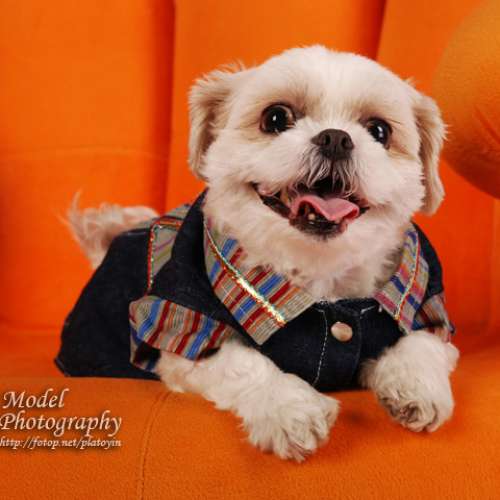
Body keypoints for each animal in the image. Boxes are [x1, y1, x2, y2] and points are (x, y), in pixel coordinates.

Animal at [59, 46, 459, 461]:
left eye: (380, 130)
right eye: (276, 117)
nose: (335, 138)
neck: (319, 281)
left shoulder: (428, 307)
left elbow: (421, 343)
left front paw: (415, 387)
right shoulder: (182, 331)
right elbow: (245, 364)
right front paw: (291, 410)